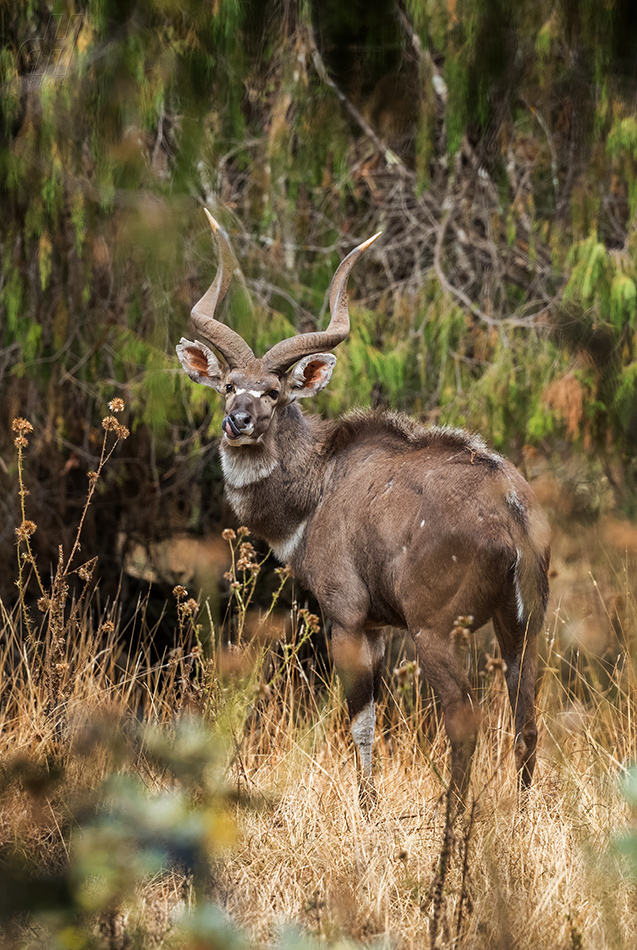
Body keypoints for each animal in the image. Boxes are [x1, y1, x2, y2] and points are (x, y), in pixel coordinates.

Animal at [176, 214, 548, 812]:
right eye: (229, 385)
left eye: (274, 392)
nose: (239, 421)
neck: (320, 485)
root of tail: (512, 513)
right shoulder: (376, 625)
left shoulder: (346, 615)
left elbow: (361, 722)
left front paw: (368, 810)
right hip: (522, 624)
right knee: (527, 718)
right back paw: (522, 814)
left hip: (435, 629)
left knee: (464, 718)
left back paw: (451, 815)